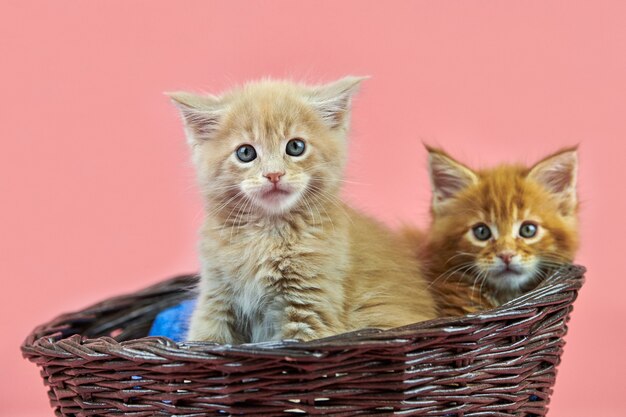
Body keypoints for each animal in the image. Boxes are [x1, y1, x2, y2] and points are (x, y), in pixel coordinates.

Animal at [168, 77, 436, 342]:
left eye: (295, 147)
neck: (267, 232)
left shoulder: (310, 309)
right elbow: (204, 338)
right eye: (245, 152)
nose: (274, 174)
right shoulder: (215, 298)